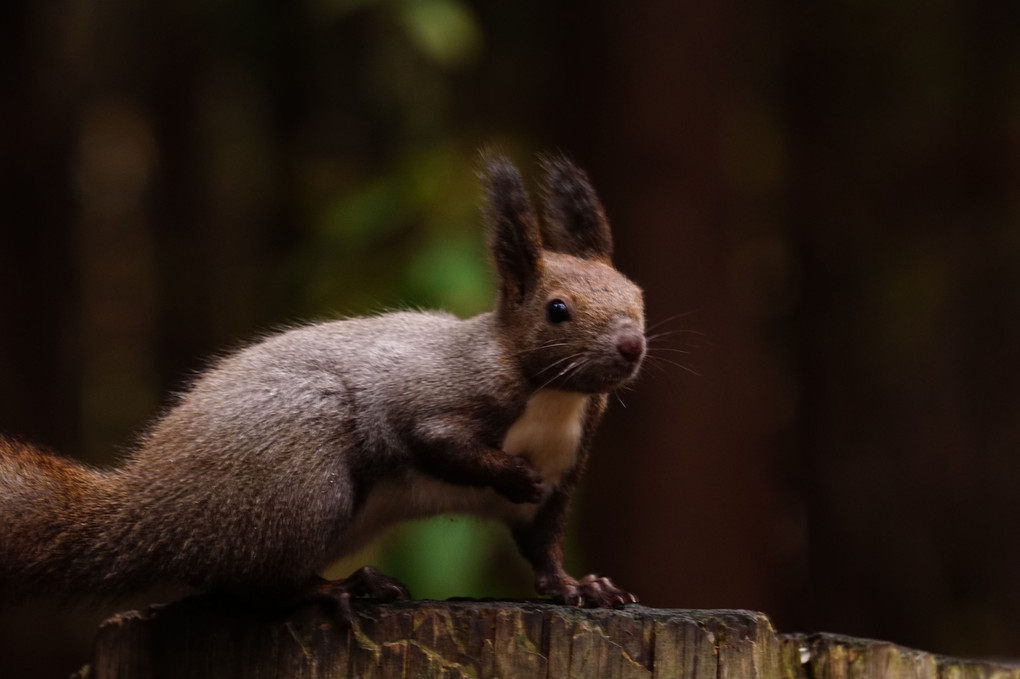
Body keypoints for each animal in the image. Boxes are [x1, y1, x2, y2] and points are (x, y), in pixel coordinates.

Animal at [0, 152, 644, 607]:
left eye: (638, 294)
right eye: (557, 310)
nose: (631, 346)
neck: (553, 397)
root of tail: (148, 512)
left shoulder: (565, 474)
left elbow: (542, 547)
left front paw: (580, 588)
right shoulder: (441, 392)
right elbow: (437, 441)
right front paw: (512, 475)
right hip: (302, 480)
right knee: (264, 584)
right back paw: (341, 588)